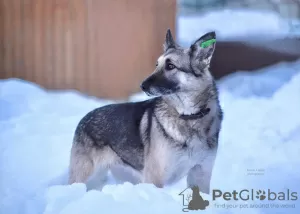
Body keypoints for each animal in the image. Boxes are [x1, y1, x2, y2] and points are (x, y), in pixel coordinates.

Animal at [68, 28, 223, 194]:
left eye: (170, 66)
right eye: (157, 65)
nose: (142, 86)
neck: (189, 117)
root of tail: (85, 118)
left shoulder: (200, 175)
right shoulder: (155, 179)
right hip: (84, 177)